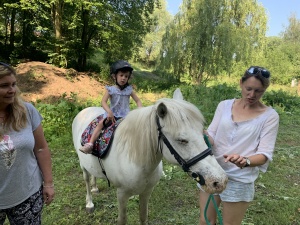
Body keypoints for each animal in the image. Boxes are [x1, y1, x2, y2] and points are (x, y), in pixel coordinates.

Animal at [73, 89, 227, 224]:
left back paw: (95, 187)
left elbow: (143, 217)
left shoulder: (146, 192)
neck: (137, 161)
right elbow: (122, 220)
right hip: (82, 164)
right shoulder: (121, 194)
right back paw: (89, 203)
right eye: (182, 140)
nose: (219, 181)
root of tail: (85, 110)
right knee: (86, 179)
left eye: (202, 133)